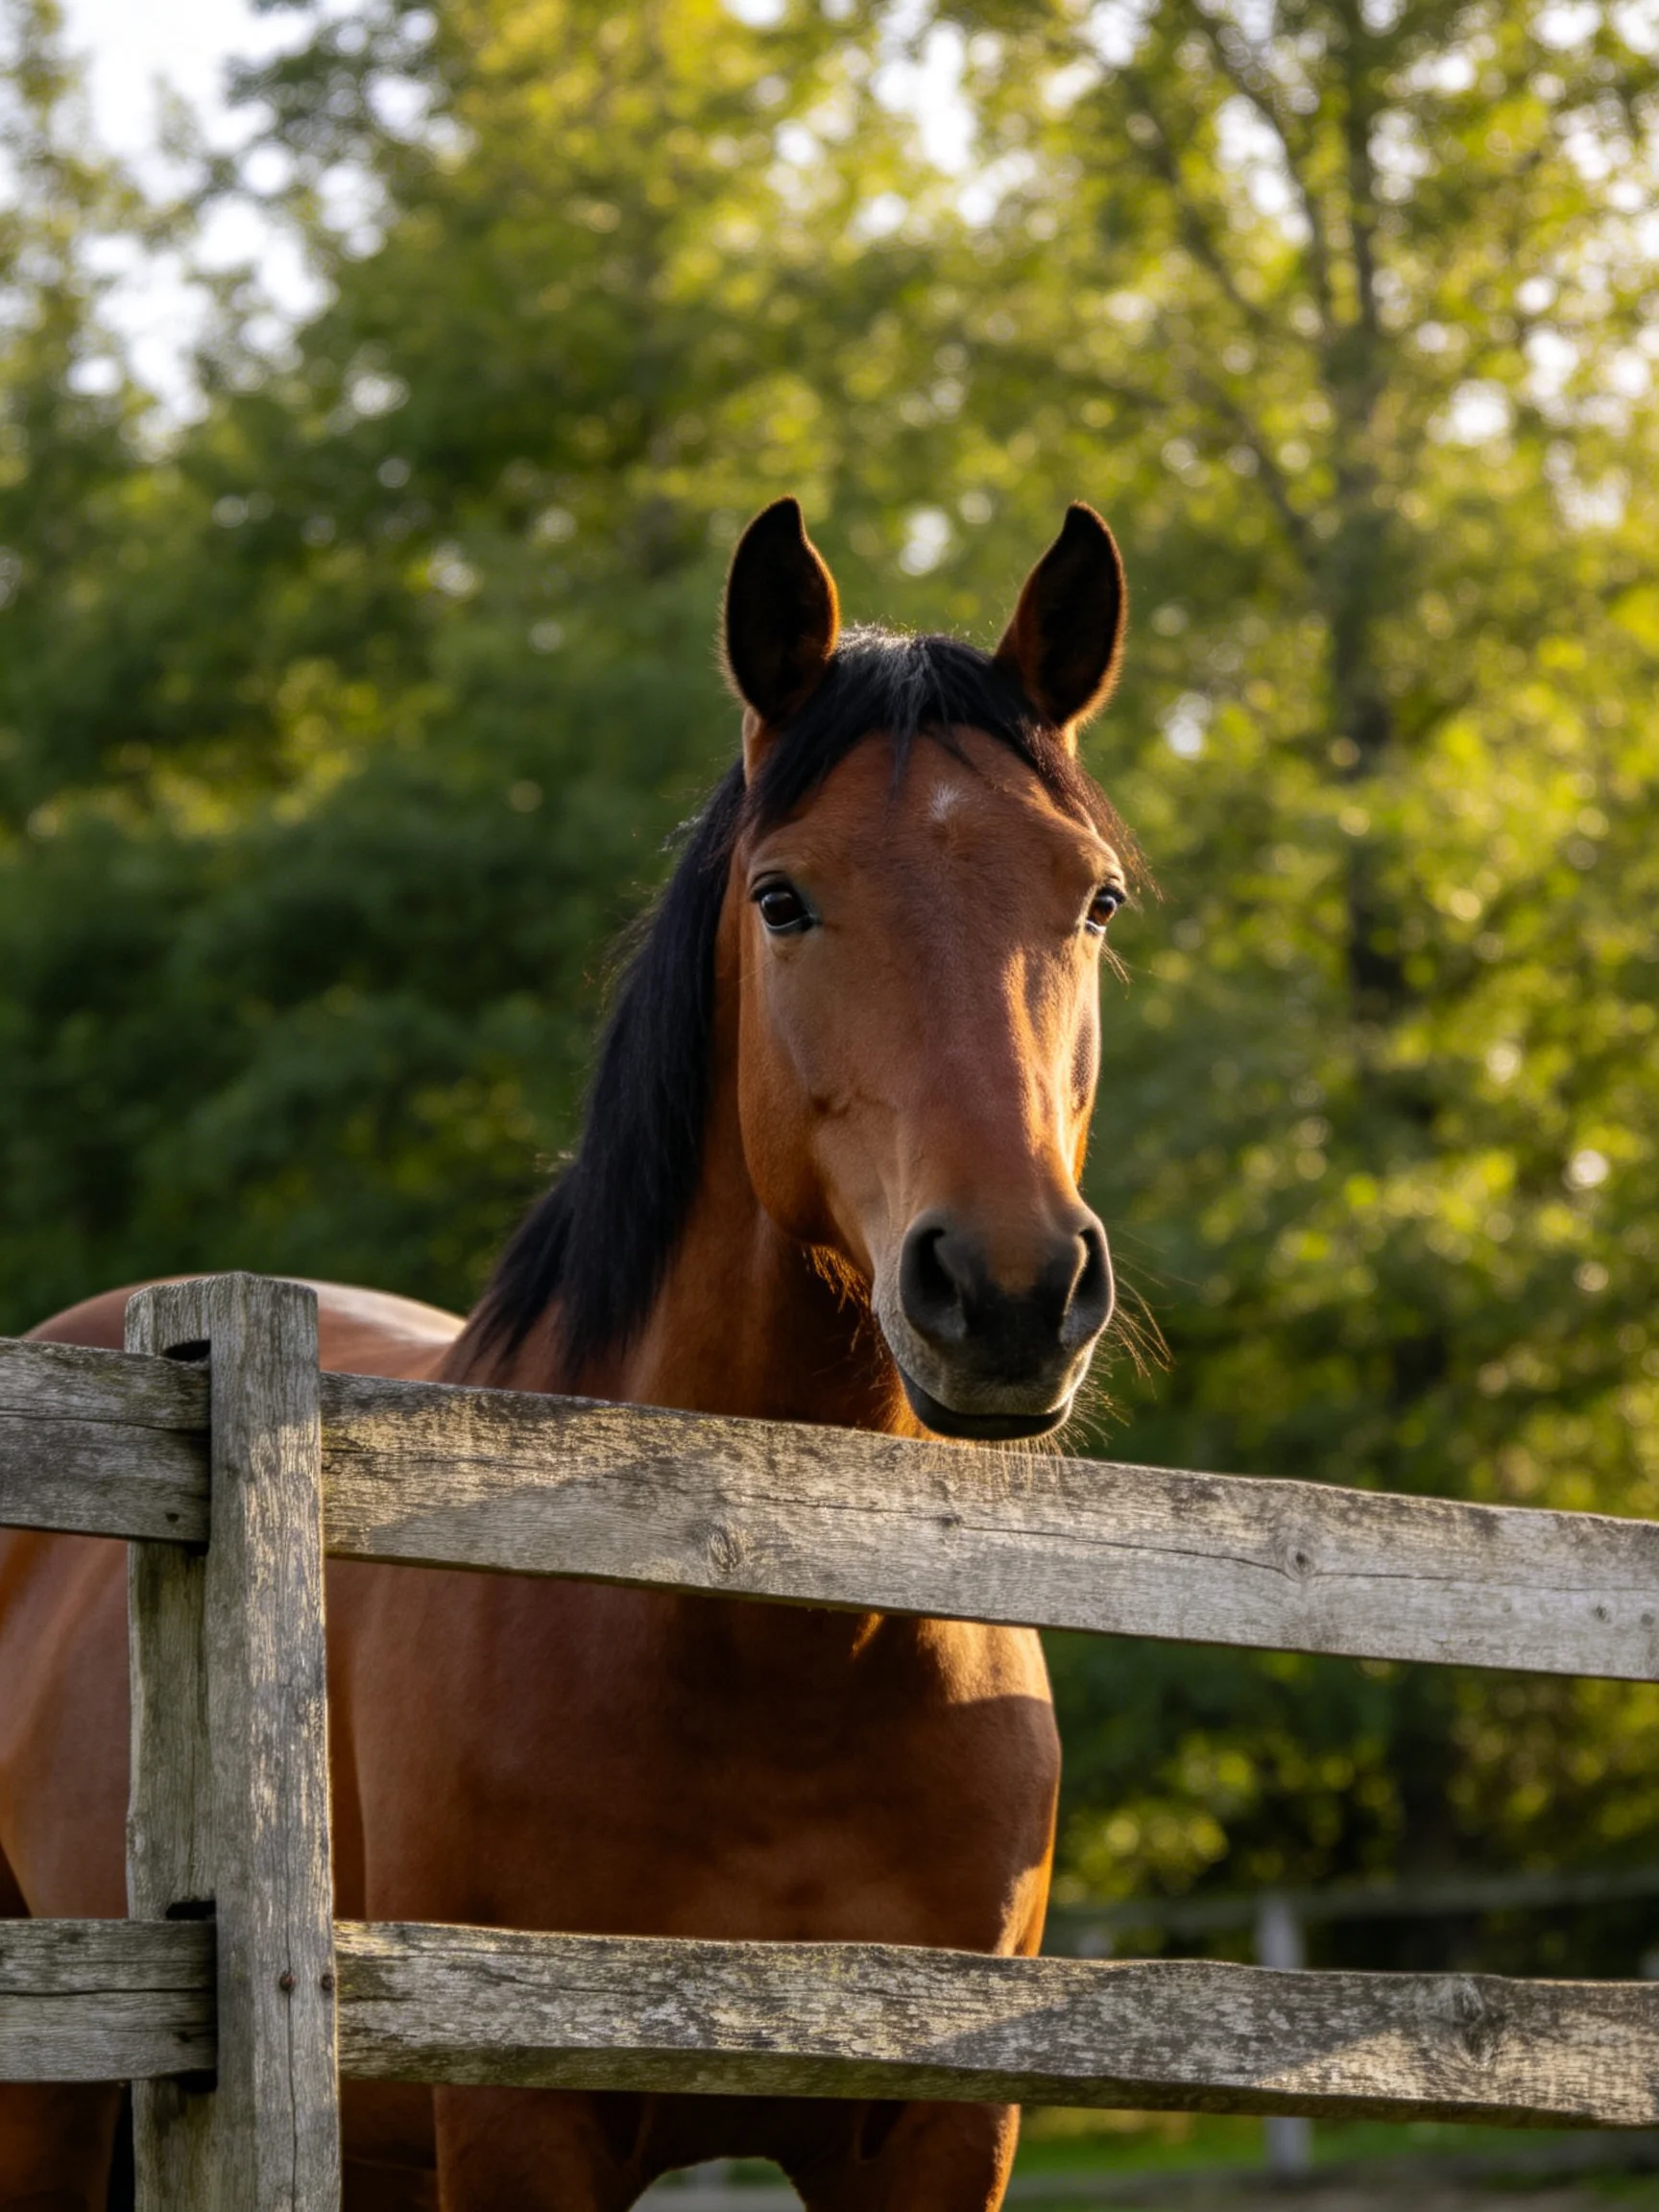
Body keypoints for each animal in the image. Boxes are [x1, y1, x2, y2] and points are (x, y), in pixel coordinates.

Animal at [0, 495, 1137, 2210]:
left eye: (1093, 898)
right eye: (783, 898)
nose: (1009, 1289)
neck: (768, 1637)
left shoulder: (940, 2129)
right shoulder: (521, 2119)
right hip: (56, 2099)